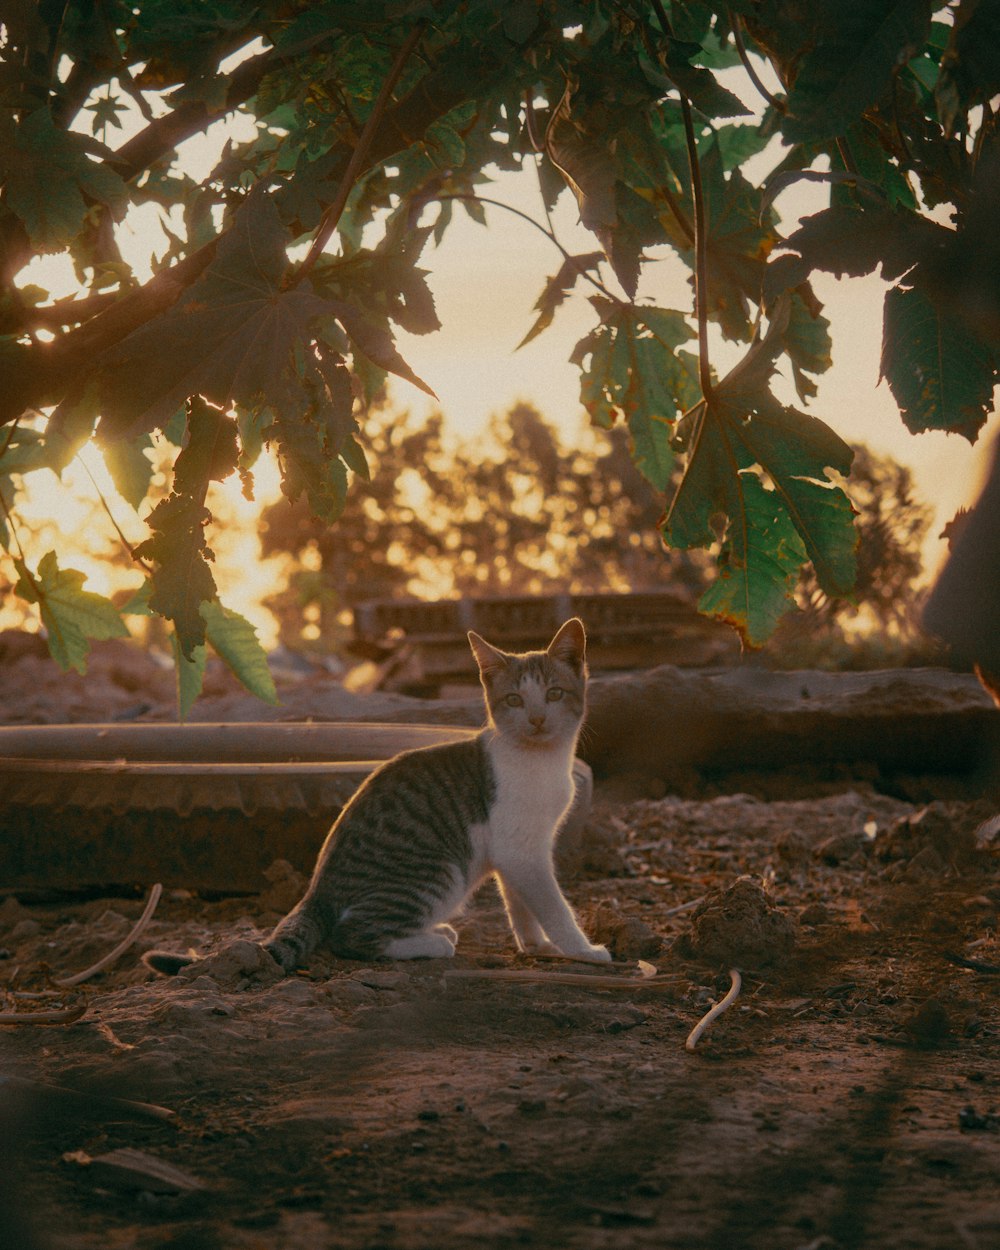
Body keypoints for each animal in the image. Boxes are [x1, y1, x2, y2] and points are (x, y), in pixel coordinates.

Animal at [142, 617, 610, 975]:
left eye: (553, 694)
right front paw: (582, 950)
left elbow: (521, 903)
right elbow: (552, 905)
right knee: (350, 936)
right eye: (513, 699)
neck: (540, 760)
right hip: (438, 872)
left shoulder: (519, 850)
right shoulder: (519, 848)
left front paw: (535, 945)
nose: (536, 719)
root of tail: (317, 888)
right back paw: (432, 942)